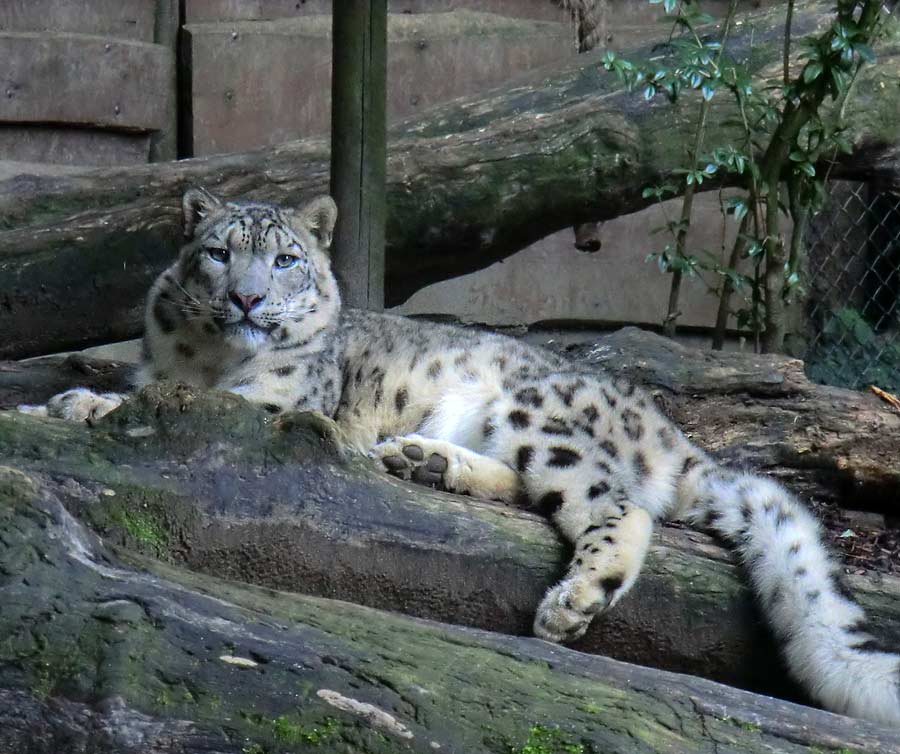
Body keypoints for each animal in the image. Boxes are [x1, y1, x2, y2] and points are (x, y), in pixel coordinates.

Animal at [24, 187, 896, 724]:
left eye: (285, 259)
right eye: (216, 252)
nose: (247, 299)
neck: (206, 360)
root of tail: (667, 430)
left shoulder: (273, 401)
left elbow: (192, 403)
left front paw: (78, 402)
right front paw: (59, 400)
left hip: (537, 412)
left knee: (615, 503)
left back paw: (574, 599)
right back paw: (424, 460)